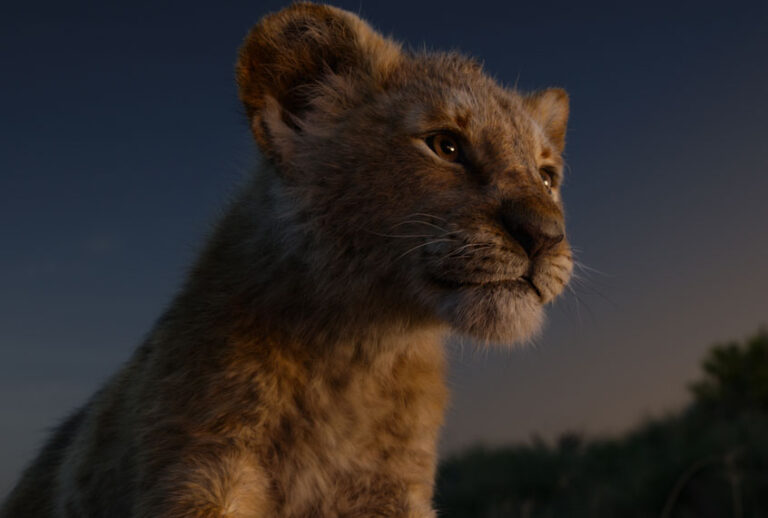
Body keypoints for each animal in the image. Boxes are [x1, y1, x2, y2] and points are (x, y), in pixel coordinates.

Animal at [1, 3, 572, 517]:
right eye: (446, 146)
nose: (546, 234)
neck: (358, 355)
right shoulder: (201, 466)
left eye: (547, 177)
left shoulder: (391, 488)